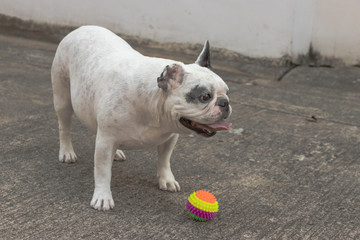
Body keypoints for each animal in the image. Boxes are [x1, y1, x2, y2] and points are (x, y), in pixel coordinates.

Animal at [51, 25, 231, 210]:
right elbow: (102, 171)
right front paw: (102, 196)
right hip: (62, 98)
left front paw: (166, 180)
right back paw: (67, 152)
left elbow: (164, 160)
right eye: (205, 97)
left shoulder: (170, 137)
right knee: (64, 127)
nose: (225, 102)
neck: (152, 103)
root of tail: (82, 28)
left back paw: (117, 152)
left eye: (227, 91)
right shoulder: (106, 141)